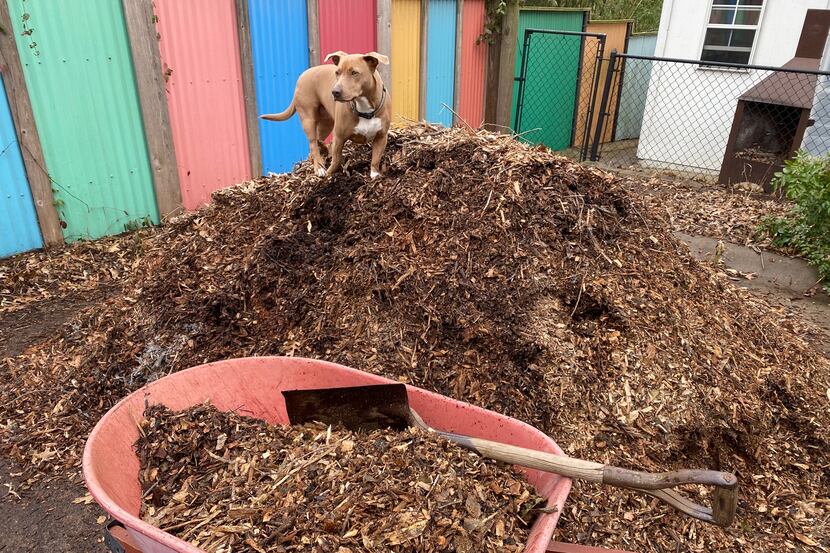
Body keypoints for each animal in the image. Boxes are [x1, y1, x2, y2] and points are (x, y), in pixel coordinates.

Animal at [262, 51, 392, 178]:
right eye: (337, 72)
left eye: (354, 73)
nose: (335, 92)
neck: (364, 109)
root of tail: (303, 75)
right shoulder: (339, 137)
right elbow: (336, 160)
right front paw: (329, 175)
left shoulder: (381, 137)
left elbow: (376, 158)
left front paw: (375, 174)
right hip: (308, 119)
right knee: (313, 144)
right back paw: (319, 168)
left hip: (326, 124)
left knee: (318, 141)